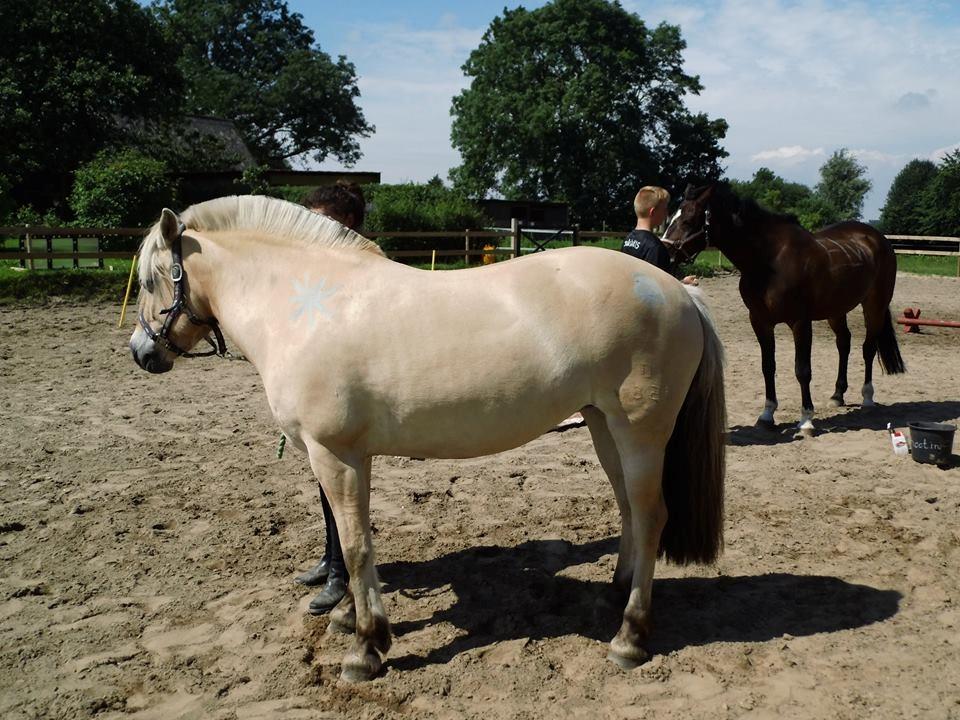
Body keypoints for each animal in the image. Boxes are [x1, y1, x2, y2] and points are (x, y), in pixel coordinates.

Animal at [129, 195, 728, 680]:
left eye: (152, 280)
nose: (142, 353)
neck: (310, 304)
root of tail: (678, 292)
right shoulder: (350, 457)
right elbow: (353, 540)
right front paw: (351, 619)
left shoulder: (334, 455)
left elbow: (354, 544)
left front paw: (366, 649)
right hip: (604, 426)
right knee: (628, 510)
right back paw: (612, 597)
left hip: (641, 432)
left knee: (651, 517)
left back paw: (629, 637)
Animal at [664, 183, 904, 436]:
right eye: (671, 217)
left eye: (688, 220)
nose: (666, 251)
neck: (769, 262)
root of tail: (877, 238)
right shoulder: (760, 322)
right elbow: (768, 367)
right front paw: (766, 415)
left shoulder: (800, 322)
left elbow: (802, 370)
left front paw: (806, 420)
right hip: (836, 310)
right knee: (844, 343)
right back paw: (837, 395)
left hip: (874, 305)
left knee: (868, 348)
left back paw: (867, 397)